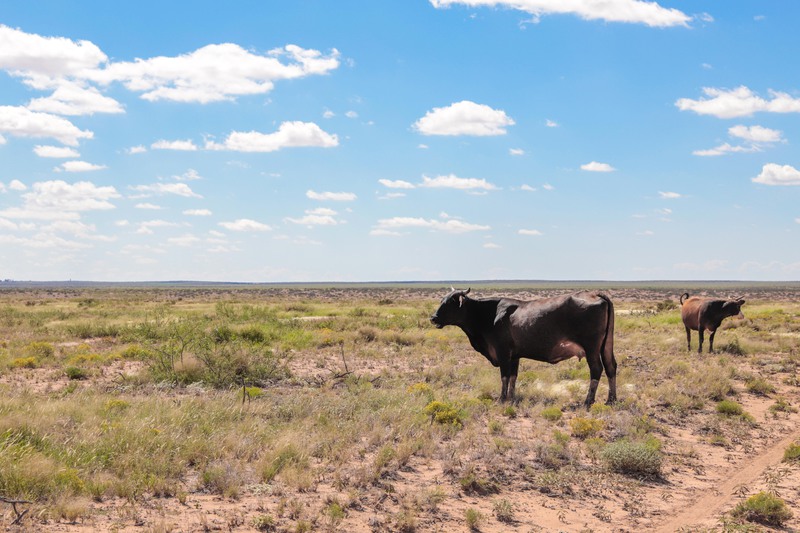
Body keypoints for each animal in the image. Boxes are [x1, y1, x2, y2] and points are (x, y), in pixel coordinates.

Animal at [428, 286, 616, 408]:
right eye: (441, 300)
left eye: (450, 302)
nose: (433, 318)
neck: (489, 314)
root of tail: (594, 293)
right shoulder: (515, 356)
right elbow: (513, 377)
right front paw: (512, 398)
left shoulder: (503, 352)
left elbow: (504, 377)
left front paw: (502, 399)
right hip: (606, 347)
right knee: (611, 367)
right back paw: (611, 400)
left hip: (591, 348)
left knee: (596, 369)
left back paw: (588, 401)